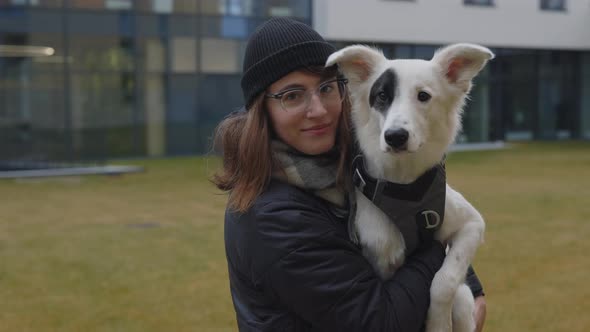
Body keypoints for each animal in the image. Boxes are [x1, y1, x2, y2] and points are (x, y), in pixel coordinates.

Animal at [328, 44, 494, 332]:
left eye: (423, 96)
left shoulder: (471, 224)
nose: (395, 136)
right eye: (382, 96)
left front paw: (438, 323)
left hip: (463, 303)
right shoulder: (379, 257)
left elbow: (444, 281)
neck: (405, 189)